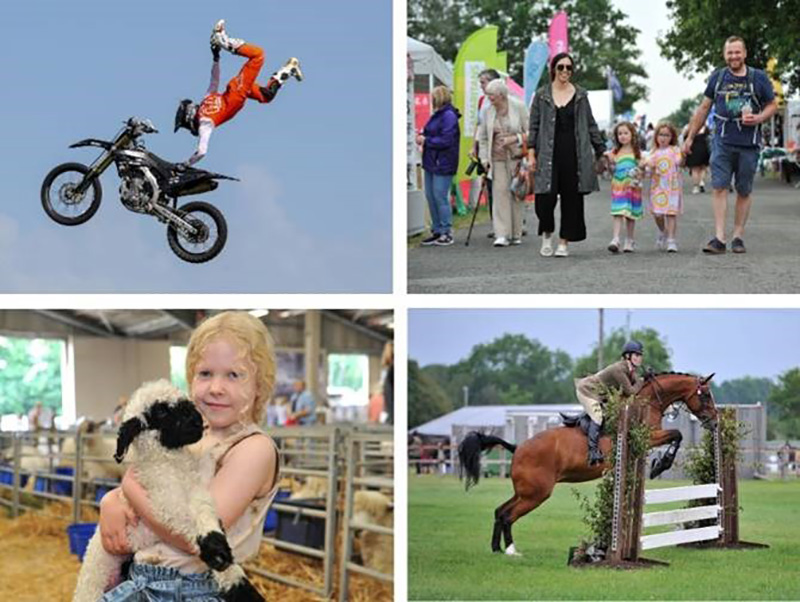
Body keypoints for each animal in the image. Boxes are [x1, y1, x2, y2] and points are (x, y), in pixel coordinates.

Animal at [72, 380, 262, 600]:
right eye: (161, 411)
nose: (198, 422)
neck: (171, 464)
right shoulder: (164, 501)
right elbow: (186, 521)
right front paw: (219, 558)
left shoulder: (195, 491)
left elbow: (205, 512)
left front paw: (220, 553)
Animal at [456, 370, 720, 552]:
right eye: (706, 395)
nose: (715, 422)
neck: (647, 402)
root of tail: (518, 447)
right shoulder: (648, 437)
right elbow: (677, 434)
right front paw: (660, 465)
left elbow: (677, 435)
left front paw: (658, 465)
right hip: (536, 493)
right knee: (508, 516)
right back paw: (511, 551)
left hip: (525, 491)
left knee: (500, 511)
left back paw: (496, 549)